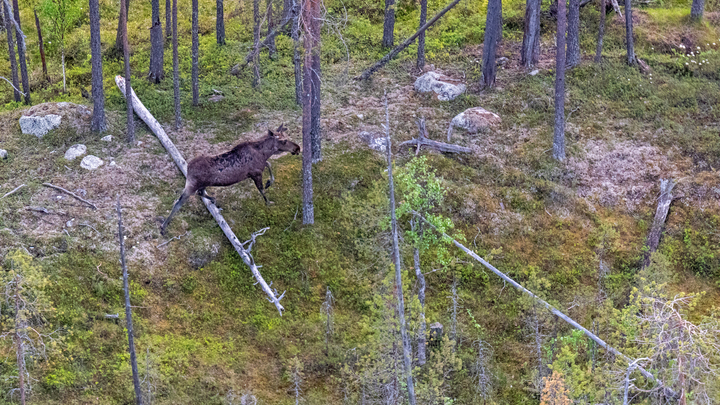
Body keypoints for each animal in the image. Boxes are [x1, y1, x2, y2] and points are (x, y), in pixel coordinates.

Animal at [162, 124, 300, 235]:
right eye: (284, 140)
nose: (297, 148)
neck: (264, 153)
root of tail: (188, 167)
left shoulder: (258, 168)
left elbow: (269, 164)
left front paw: (269, 182)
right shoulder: (255, 173)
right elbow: (261, 189)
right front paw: (268, 201)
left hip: (202, 184)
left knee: (200, 193)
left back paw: (213, 199)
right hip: (192, 184)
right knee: (179, 202)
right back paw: (164, 226)